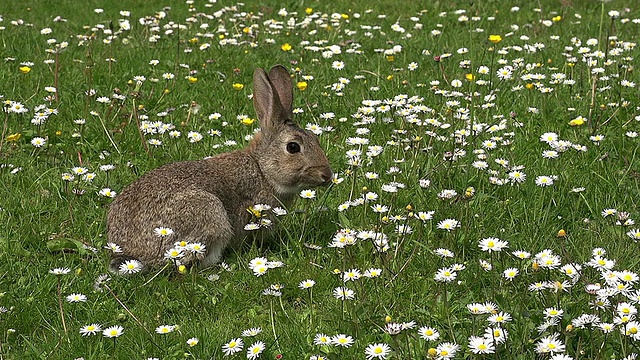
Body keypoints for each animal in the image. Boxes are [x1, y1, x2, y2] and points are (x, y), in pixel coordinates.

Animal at [105, 64, 332, 272]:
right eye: (293, 147)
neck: (262, 170)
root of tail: (131, 254)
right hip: (209, 212)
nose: (326, 175)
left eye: (316, 139)